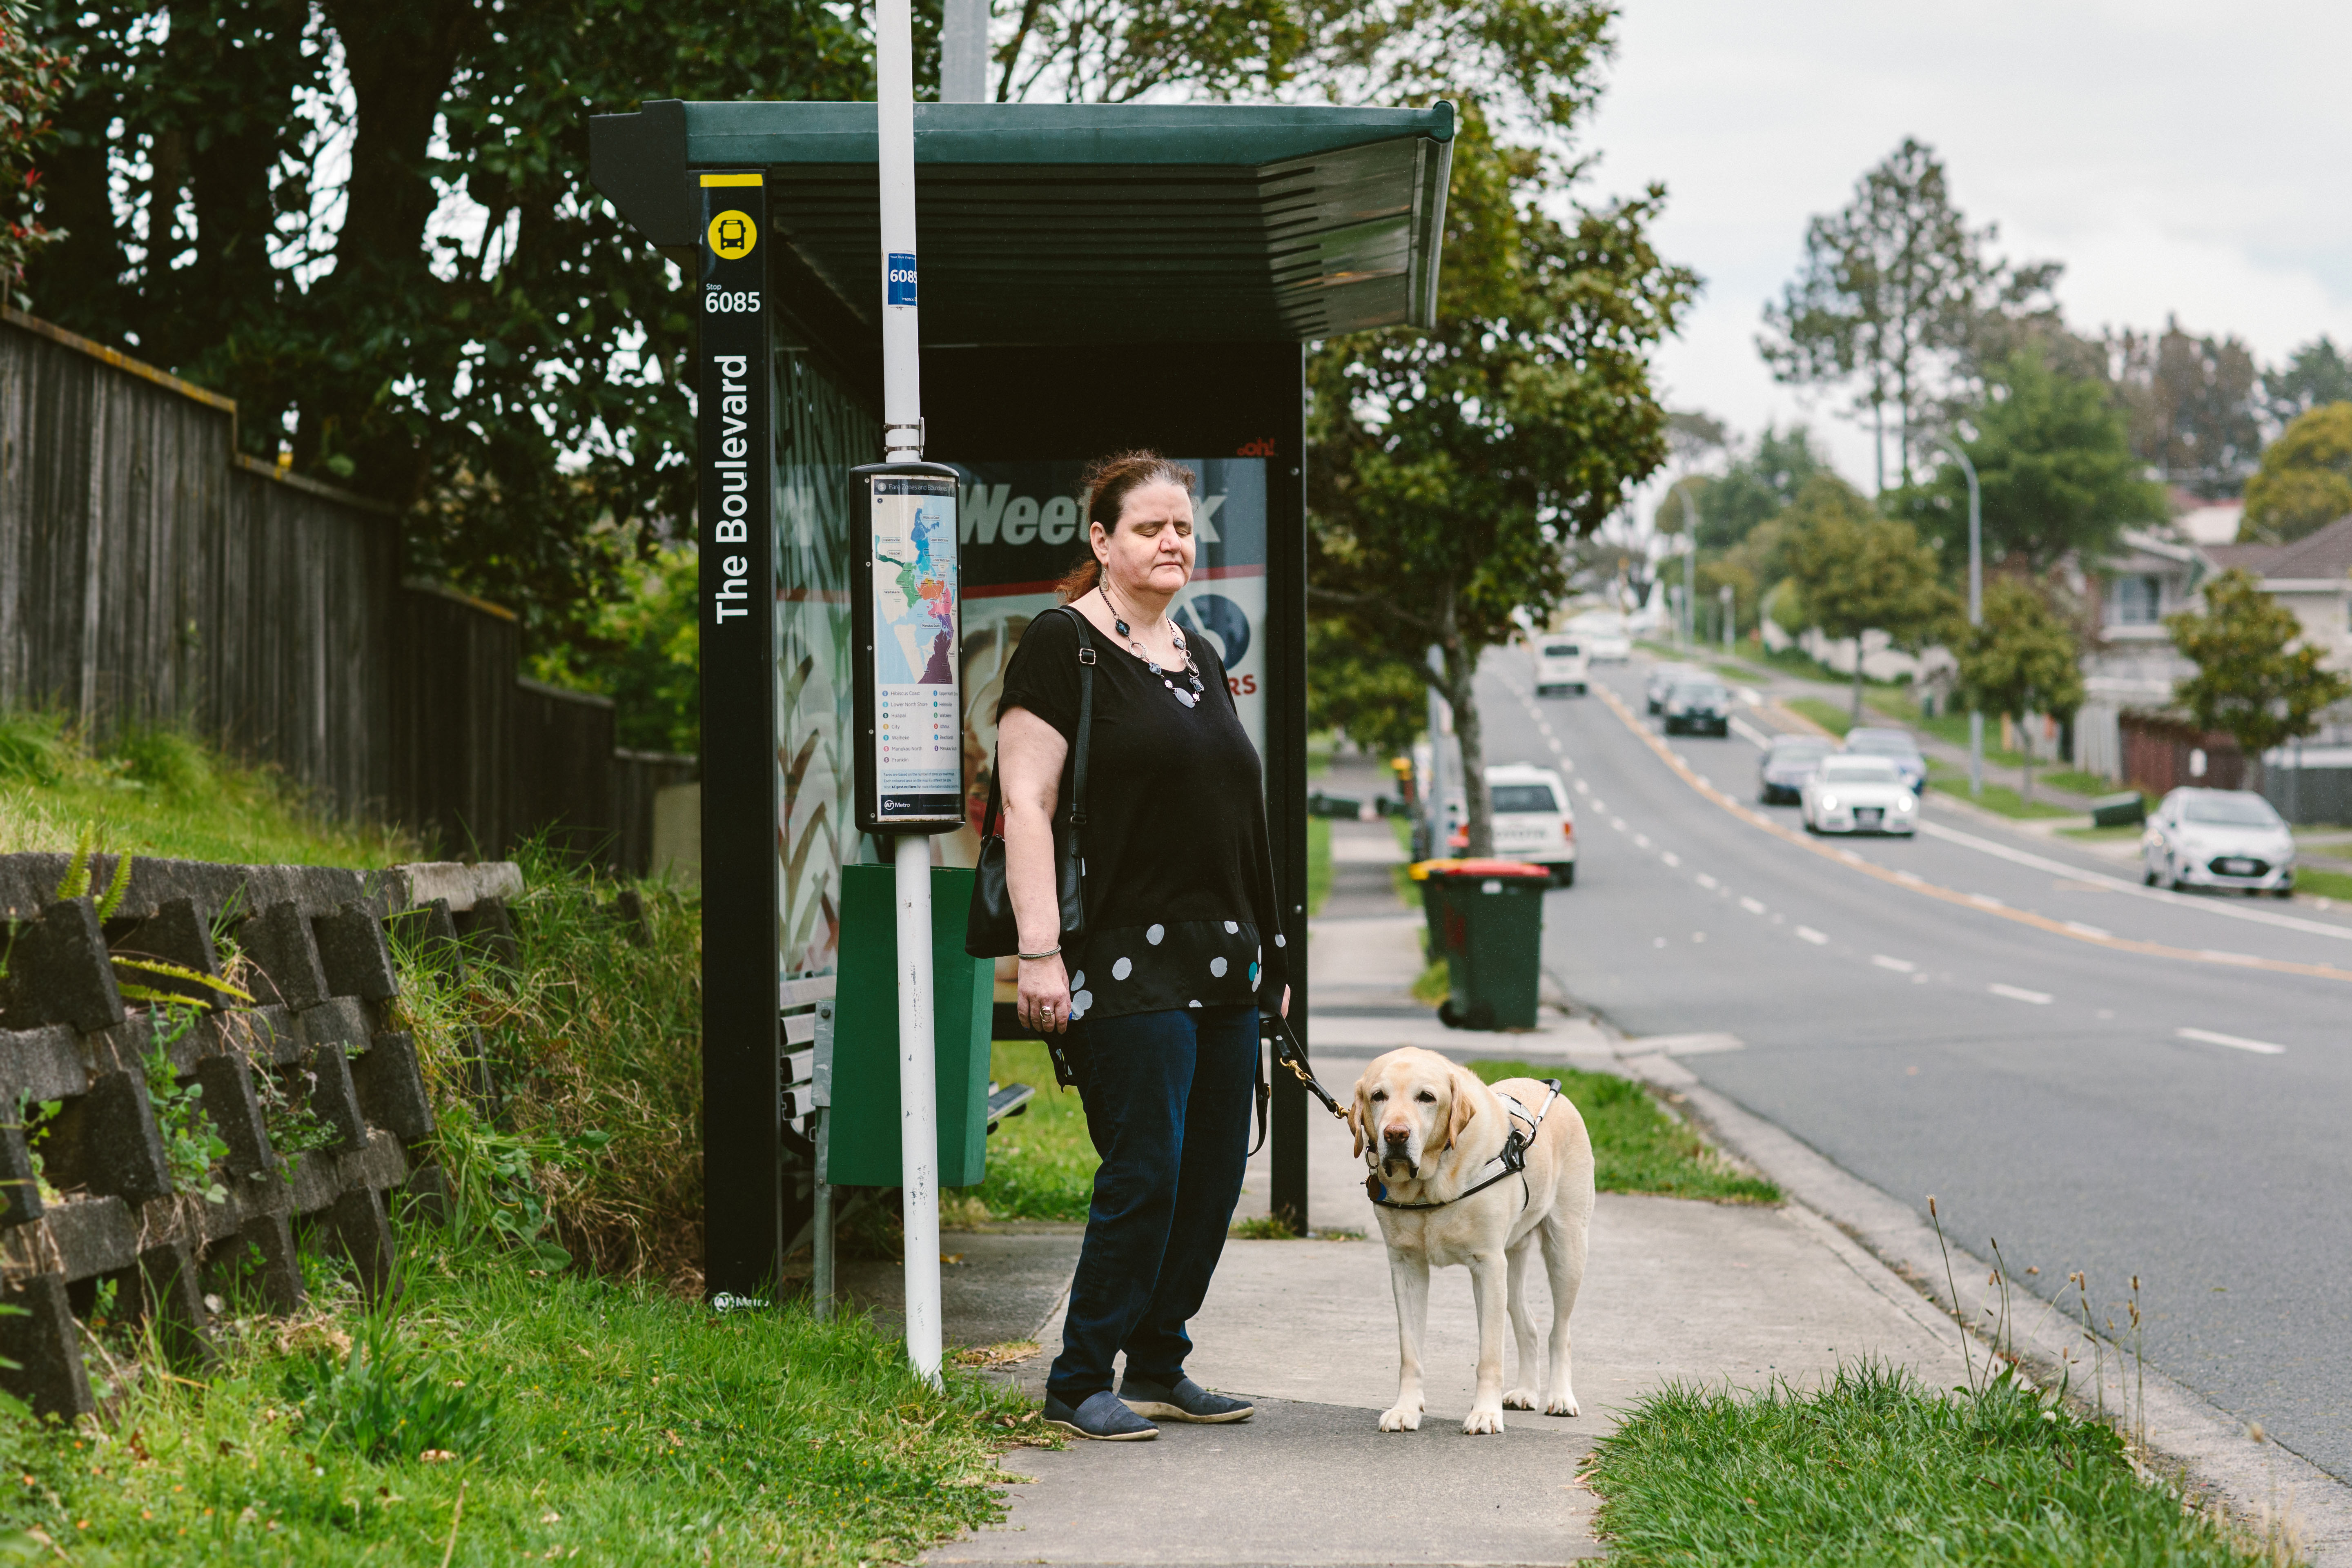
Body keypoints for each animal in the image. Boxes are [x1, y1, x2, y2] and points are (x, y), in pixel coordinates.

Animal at [1354, 1048, 1590, 1439]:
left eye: (1427, 1097)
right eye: (1378, 1096)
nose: (1396, 1134)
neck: (1430, 1183)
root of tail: (1547, 1087)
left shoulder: (1488, 1265)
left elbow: (1490, 1356)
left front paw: (1485, 1415)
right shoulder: (1406, 1266)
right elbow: (1410, 1352)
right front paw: (1406, 1410)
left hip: (1566, 1250)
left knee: (1561, 1332)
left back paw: (1560, 1398)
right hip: (1513, 1260)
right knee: (1529, 1326)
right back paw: (1526, 1392)